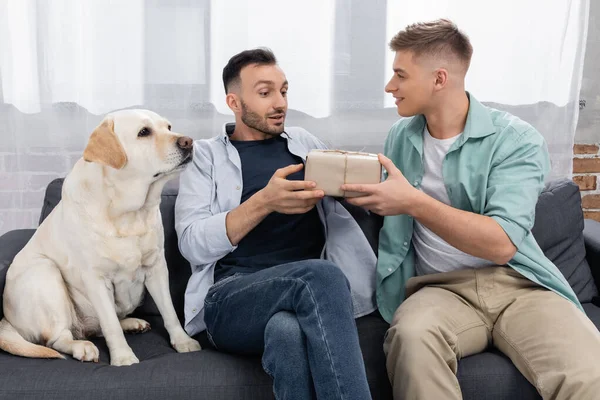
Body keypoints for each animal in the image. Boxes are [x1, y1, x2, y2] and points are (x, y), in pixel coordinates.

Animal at [0, 108, 202, 366]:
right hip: (44, 272)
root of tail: (6, 320)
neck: (126, 213)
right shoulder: (96, 279)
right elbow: (110, 325)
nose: (188, 141)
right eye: (144, 132)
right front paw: (123, 358)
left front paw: (183, 341)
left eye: (168, 127)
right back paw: (82, 347)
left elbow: (169, 312)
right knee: (58, 339)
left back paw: (131, 323)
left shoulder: (156, 267)